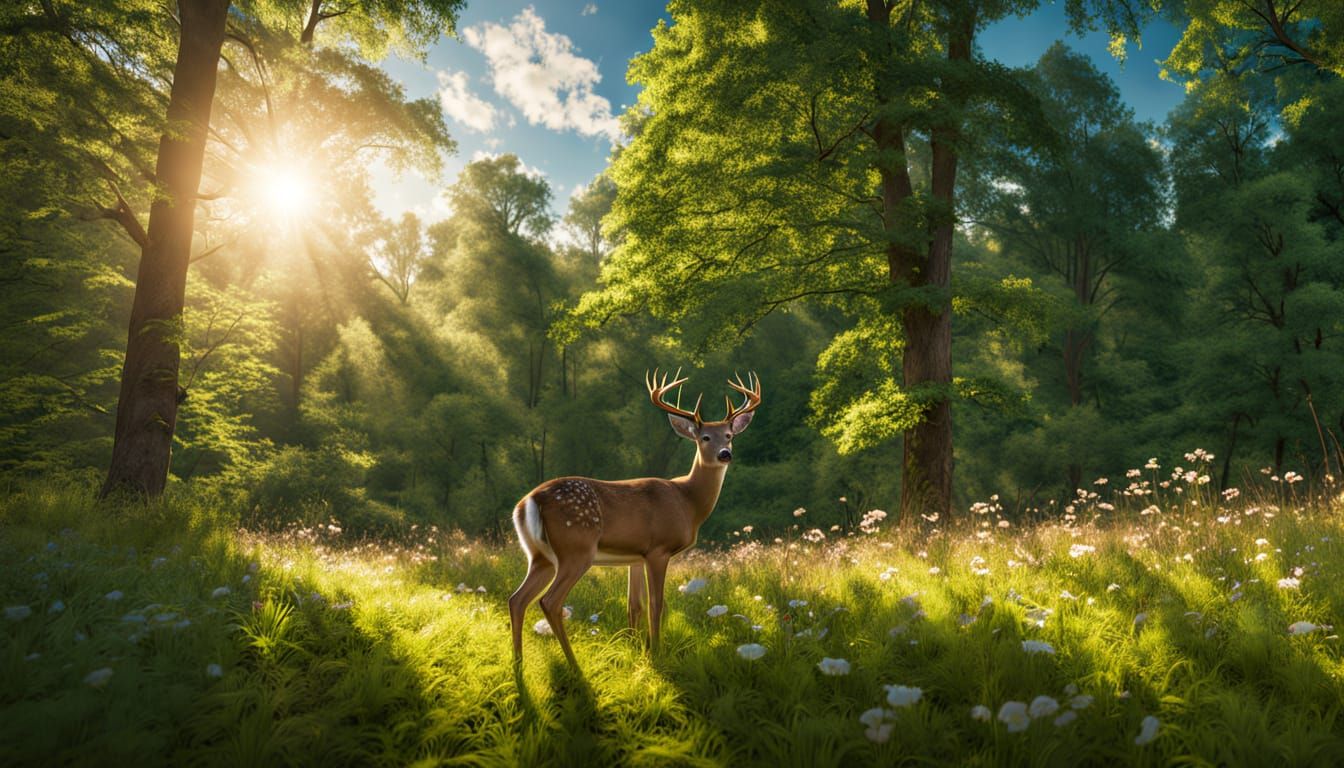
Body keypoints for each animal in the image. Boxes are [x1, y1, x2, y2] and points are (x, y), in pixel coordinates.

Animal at [507, 369, 761, 667]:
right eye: (705, 438)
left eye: (729, 435)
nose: (725, 454)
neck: (688, 501)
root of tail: (530, 501)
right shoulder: (658, 550)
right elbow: (656, 604)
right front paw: (656, 652)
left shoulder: (635, 557)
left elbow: (634, 606)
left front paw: (635, 648)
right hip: (575, 549)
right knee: (549, 601)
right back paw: (574, 665)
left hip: (540, 556)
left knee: (517, 599)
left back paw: (518, 663)